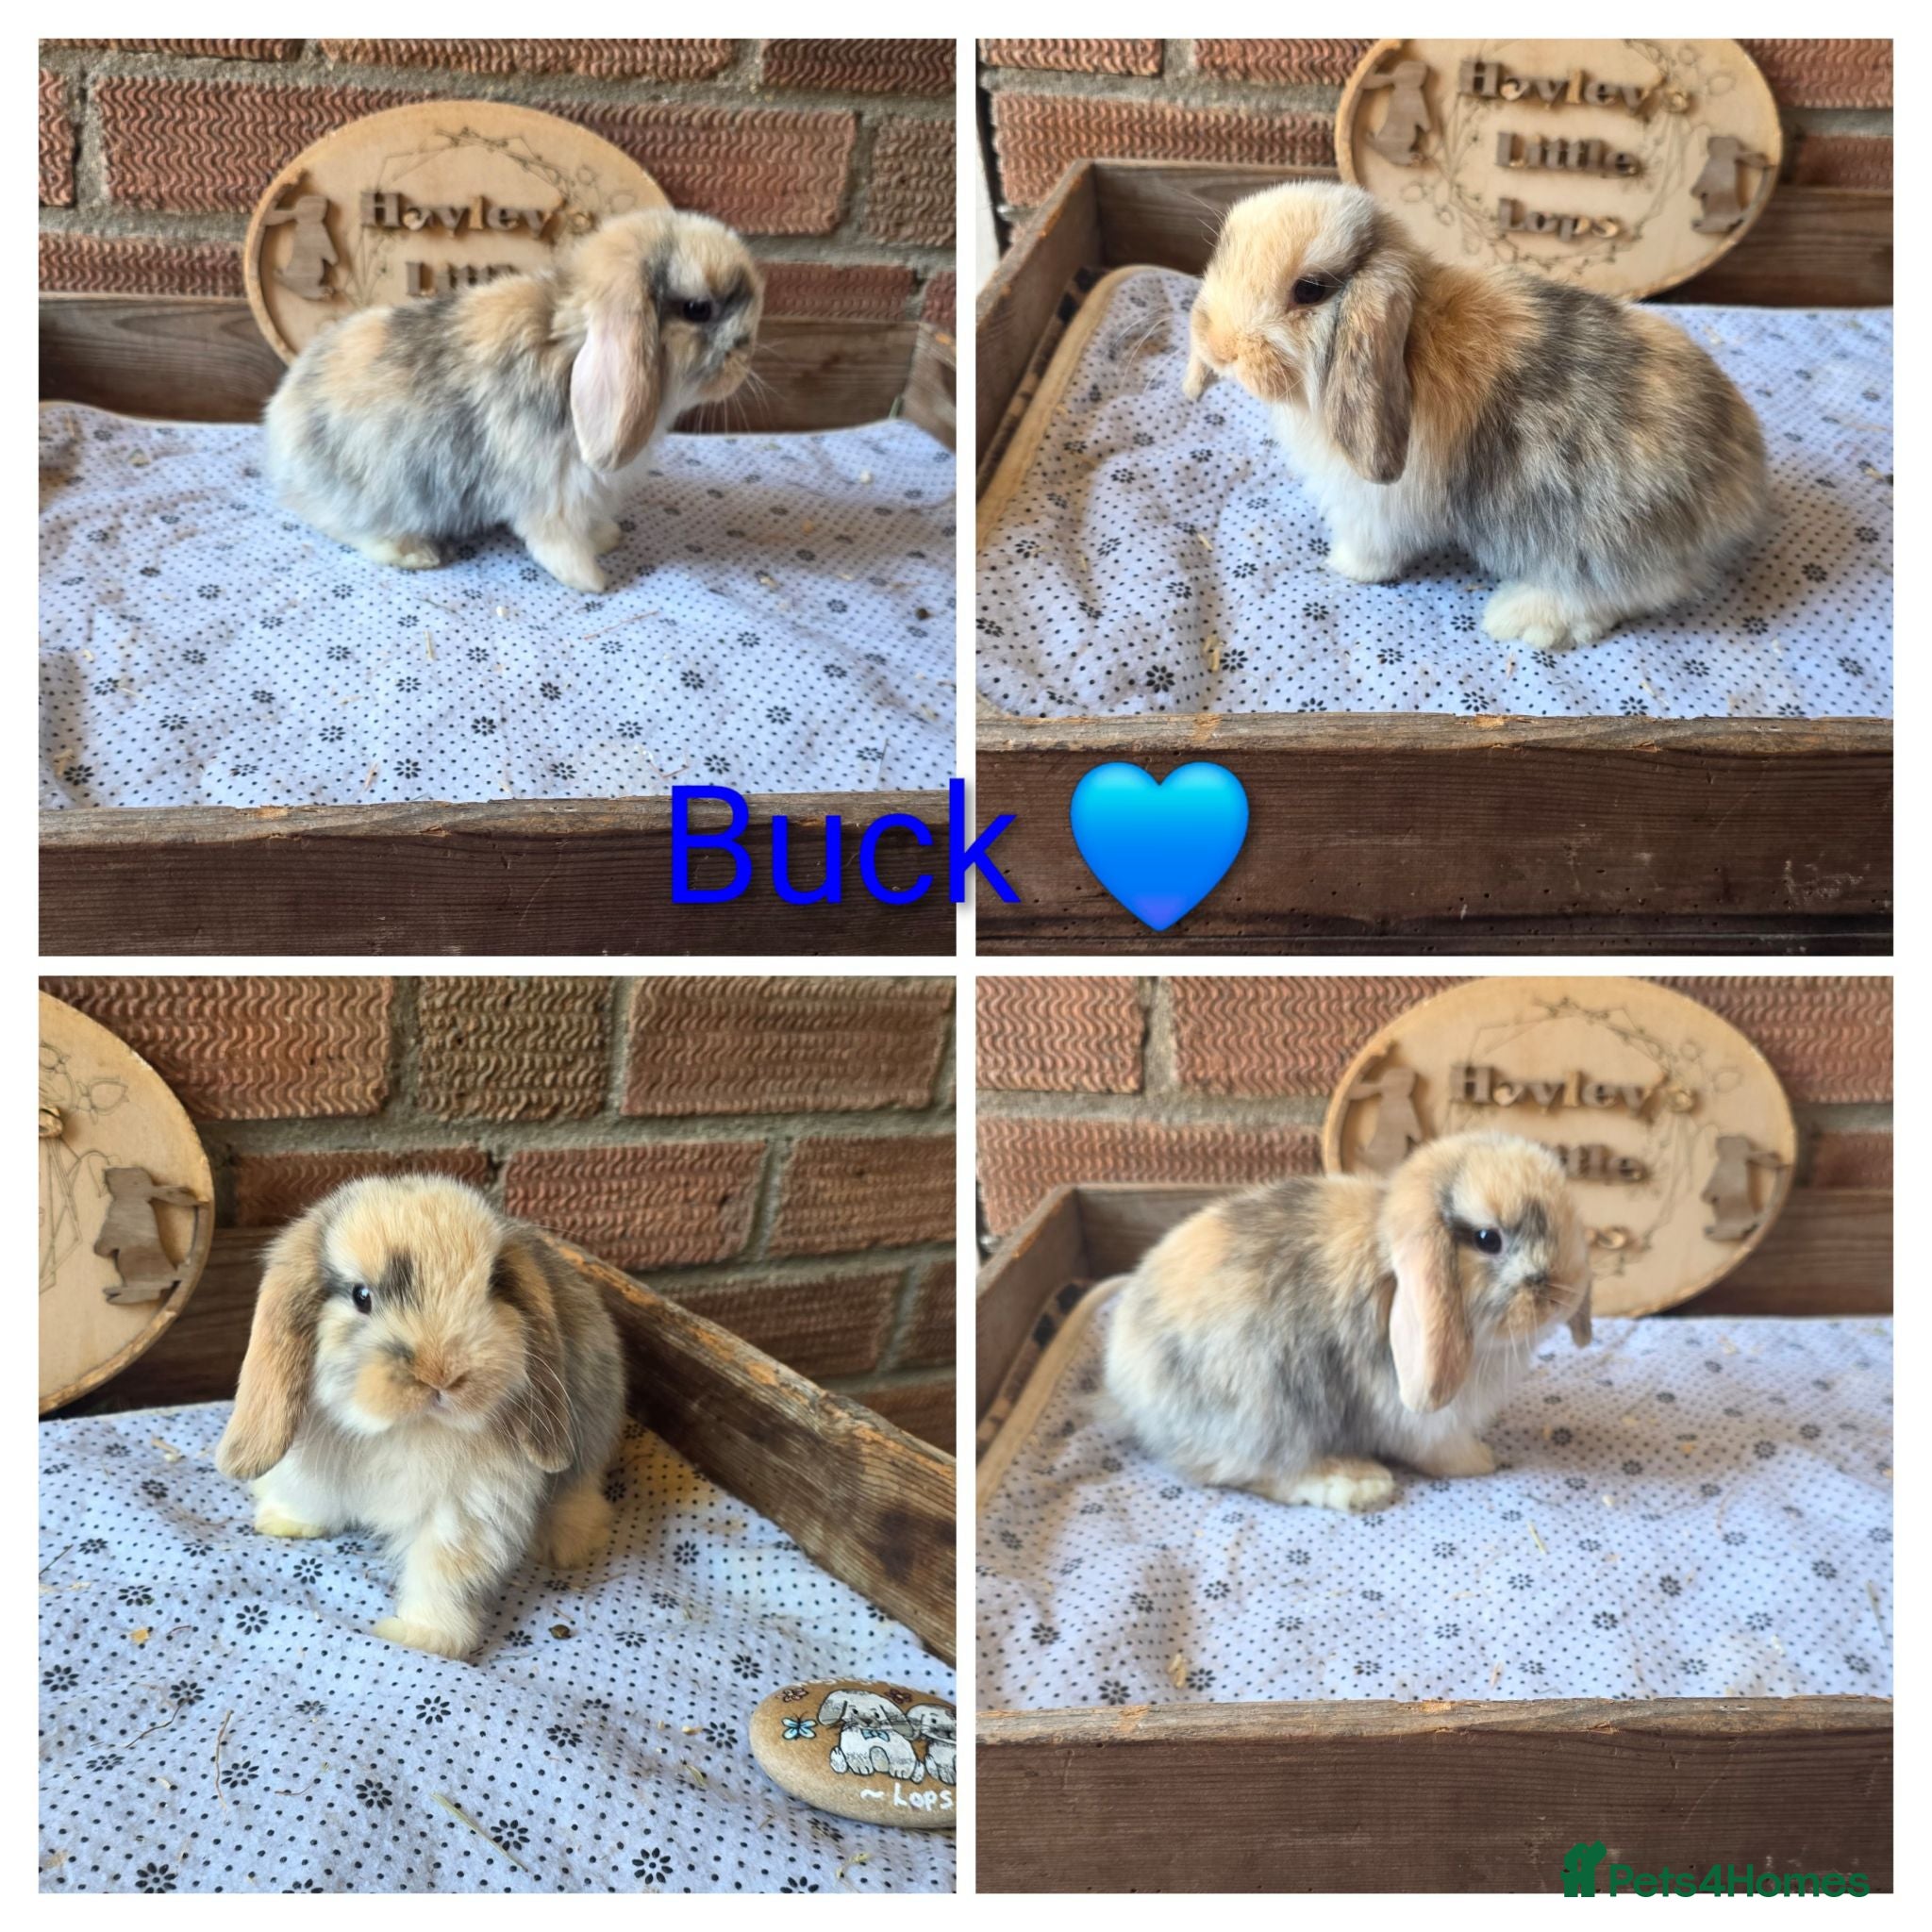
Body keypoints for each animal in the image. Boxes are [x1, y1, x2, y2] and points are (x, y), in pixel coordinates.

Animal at [214, 1174, 626, 1658]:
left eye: (493, 1285)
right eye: (361, 1296)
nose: (443, 1373)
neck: (400, 1429)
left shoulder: (466, 1506)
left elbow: (444, 1567)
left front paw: (423, 1638)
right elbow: (308, 1500)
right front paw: (285, 1523)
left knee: (580, 1488)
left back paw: (567, 1545)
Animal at [264, 207, 763, 594]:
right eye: (698, 309)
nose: (747, 349)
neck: (569, 350)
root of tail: (280, 418)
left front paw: (607, 537)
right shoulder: (555, 494)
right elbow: (557, 544)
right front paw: (592, 581)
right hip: (381, 493)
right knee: (345, 526)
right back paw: (415, 553)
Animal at [1103, 1132, 1591, 1513]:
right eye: (1488, 1239)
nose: (1565, 1293)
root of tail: (1124, 1382)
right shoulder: (1421, 1422)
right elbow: (1442, 1450)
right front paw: (1480, 1460)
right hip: (1266, 1414)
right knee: (1243, 1470)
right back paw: (1355, 1483)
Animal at [1182, 180, 1768, 648]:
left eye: (1310, 290)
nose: (1220, 350)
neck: (1413, 339)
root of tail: (1741, 484)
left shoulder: (1375, 509)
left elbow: (1371, 548)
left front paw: (1346, 568)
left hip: (1597, 542)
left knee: (1630, 591)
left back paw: (1524, 617)